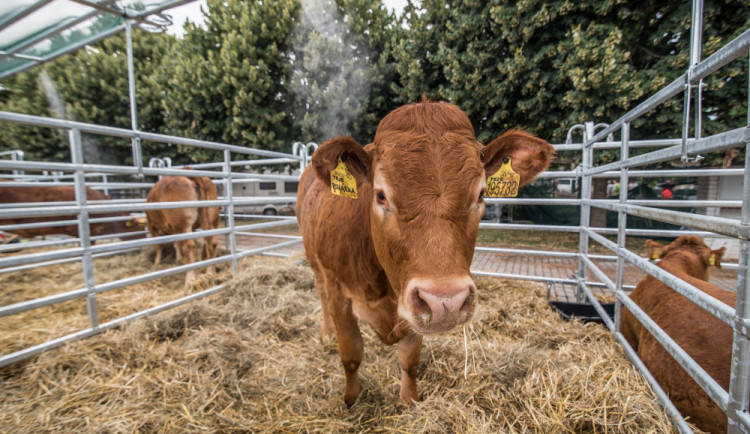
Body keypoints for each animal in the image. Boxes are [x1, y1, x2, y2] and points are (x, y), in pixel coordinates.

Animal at [296, 100, 556, 406]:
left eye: (481, 194)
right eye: (381, 195)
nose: (446, 301)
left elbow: (409, 359)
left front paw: (410, 401)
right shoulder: (340, 292)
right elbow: (351, 354)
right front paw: (351, 400)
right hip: (316, 262)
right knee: (320, 291)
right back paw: (326, 333)